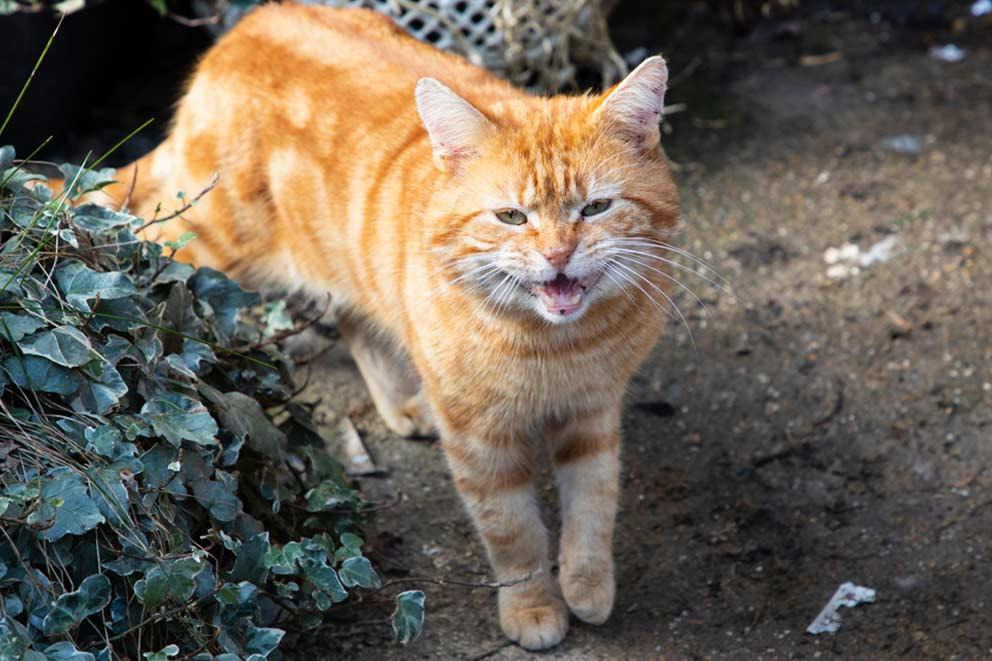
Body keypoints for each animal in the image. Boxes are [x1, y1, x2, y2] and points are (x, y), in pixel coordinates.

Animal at [97, 2, 680, 648]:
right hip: (207, 246)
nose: (558, 255)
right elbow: (514, 531)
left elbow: (594, 503)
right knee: (136, 242)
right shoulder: (479, 440)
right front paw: (531, 607)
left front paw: (587, 585)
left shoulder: (593, 409)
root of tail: (240, 33)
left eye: (596, 208)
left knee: (354, 318)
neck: (556, 346)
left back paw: (403, 402)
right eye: (511, 216)